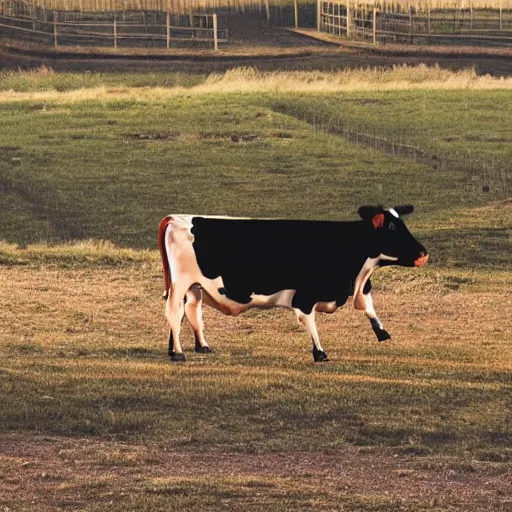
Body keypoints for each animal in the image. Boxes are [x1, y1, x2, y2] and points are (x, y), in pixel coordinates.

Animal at [157, 206, 428, 362]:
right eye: (392, 227)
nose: (423, 254)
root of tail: (174, 217)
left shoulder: (361, 285)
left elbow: (369, 305)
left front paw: (382, 332)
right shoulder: (304, 295)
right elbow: (309, 320)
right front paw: (319, 353)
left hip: (195, 287)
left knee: (191, 311)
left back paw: (198, 346)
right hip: (181, 282)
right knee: (173, 311)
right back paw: (178, 353)